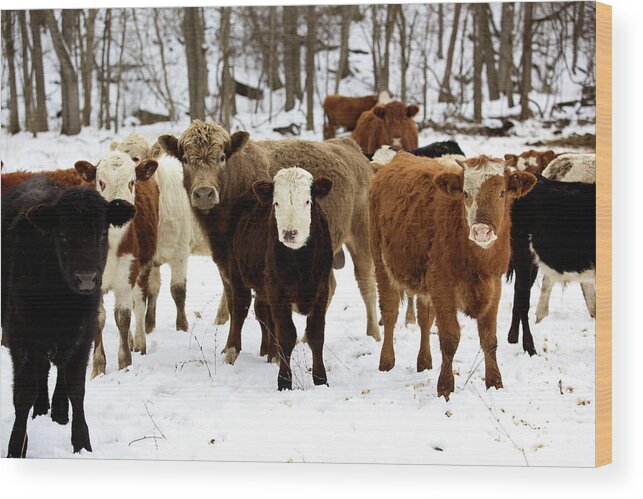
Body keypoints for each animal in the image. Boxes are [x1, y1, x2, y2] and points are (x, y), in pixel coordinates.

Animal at [2, 177, 135, 458]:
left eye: (102, 233)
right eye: (62, 235)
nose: (86, 279)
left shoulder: (83, 333)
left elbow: (76, 387)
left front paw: (81, 443)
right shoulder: (21, 337)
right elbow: (23, 393)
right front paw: (16, 447)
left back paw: (59, 413)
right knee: (42, 369)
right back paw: (42, 409)